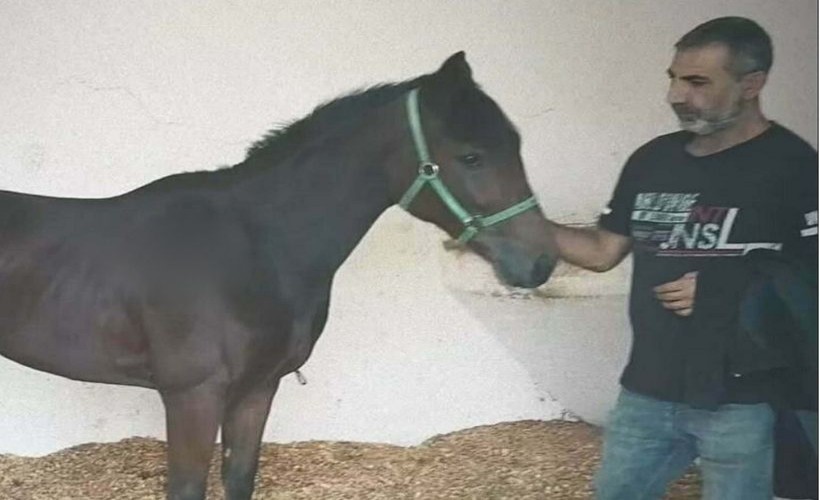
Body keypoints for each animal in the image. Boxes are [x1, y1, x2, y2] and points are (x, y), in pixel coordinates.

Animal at [0, 52, 556, 498]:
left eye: (516, 144)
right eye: (471, 155)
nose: (541, 262)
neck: (257, 247)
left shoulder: (257, 389)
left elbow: (240, 479)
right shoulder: (192, 397)